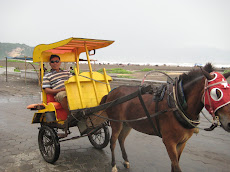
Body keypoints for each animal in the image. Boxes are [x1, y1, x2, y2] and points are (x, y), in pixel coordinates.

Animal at [100, 63, 230, 172]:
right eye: (216, 93)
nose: (229, 123)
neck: (178, 102)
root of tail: (111, 92)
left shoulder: (182, 143)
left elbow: (174, 165)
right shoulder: (169, 142)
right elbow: (176, 167)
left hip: (127, 123)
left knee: (121, 139)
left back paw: (126, 160)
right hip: (116, 123)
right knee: (113, 142)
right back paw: (113, 165)